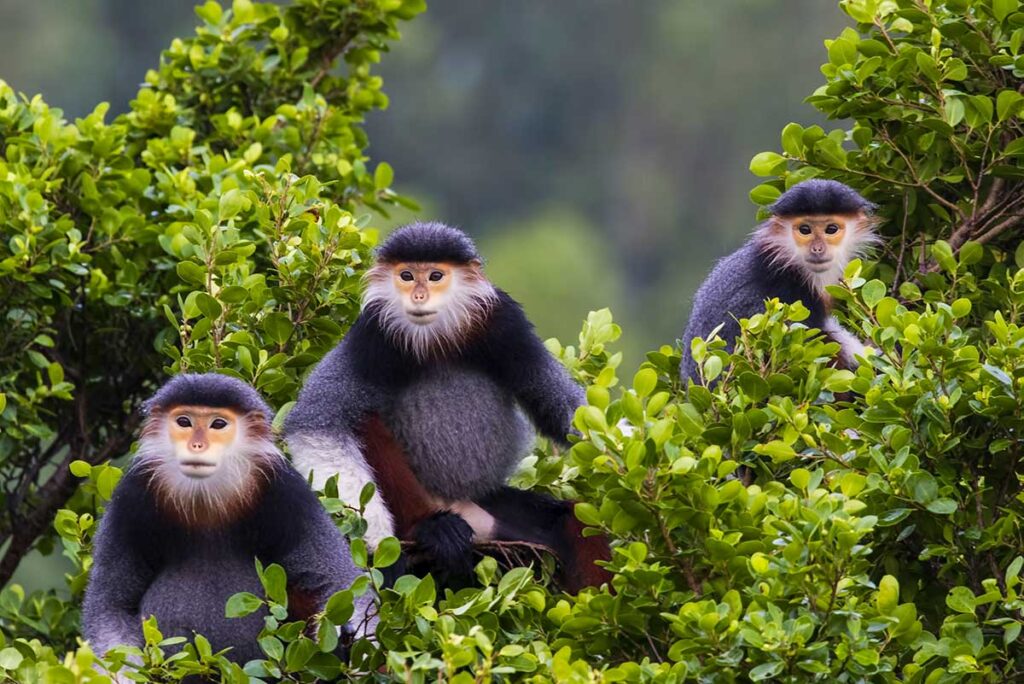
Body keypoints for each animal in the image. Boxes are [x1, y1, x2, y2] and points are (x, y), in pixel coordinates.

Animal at [82, 374, 372, 667]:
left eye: (218, 424)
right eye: (184, 422)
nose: (197, 445)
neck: (203, 496)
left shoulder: (286, 491)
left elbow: (336, 579)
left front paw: (352, 636)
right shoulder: (130, 496)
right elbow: (111, 605)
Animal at [284, 222, 610, 589]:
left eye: (435, 275)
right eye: (407, 275)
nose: (419, 295)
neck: (436, 339)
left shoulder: (506, 323)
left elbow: (557, 406)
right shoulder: (371, 334)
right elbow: (316, 422)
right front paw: (379, 551)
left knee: (573, 520)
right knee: (362, 418)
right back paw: (433, 529)